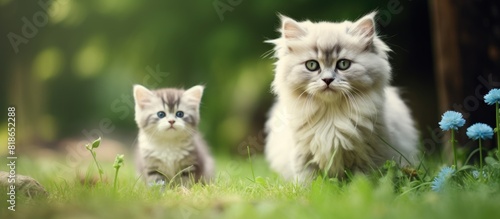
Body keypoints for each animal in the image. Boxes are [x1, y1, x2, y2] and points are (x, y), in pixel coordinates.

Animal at [266, 12, 418, 182]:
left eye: (343, 64)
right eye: (312, 65)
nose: (327, 80)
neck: (332, 116)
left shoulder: (367, 156)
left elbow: (362, 180)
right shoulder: (303, 157)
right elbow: (309, 182)